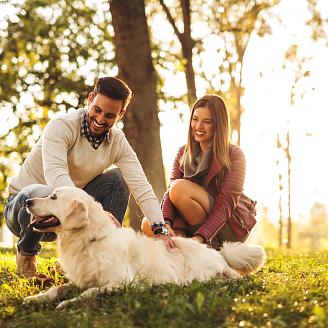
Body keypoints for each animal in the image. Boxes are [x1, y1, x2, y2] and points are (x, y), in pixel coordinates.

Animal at [23, 186, 266, 308]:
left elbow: (90, 292)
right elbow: (57, 289)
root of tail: (216, 252)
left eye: (53, 197)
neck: (90, 240)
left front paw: (68, 303)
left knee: (230, 275)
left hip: (202, 269)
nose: (27, 202)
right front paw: (36, 298)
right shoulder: (82, 278)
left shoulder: (122, 283)